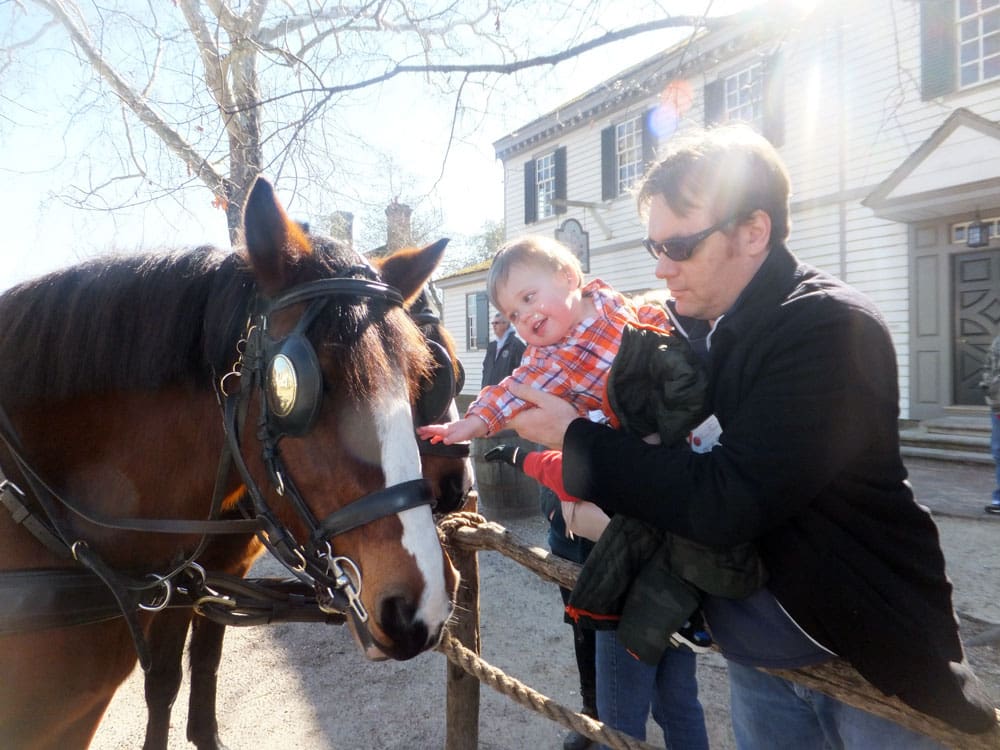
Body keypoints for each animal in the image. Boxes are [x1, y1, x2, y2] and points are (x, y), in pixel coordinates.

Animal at [0, 179, 468, 748]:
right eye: (302, 384)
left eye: (421, 373)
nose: (421, 604)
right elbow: (165, 678)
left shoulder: (207, 581)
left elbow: (201, 662)